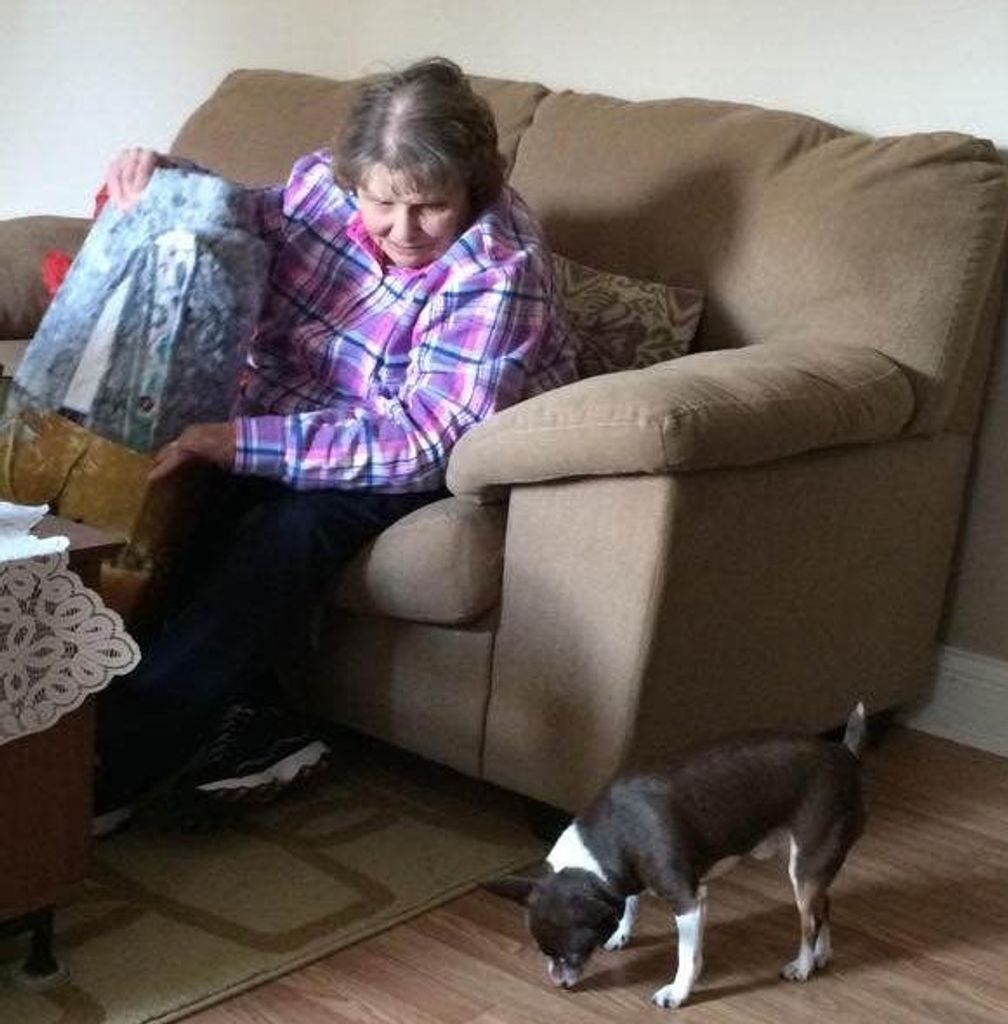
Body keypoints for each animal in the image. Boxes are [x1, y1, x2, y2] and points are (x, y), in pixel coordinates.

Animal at [490, 703, 867, 1008]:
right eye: (544, 951)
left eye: (575, 953)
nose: (559, 983)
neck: (606, 843)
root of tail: (844, 752)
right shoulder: (631, 876)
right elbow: (631, 903)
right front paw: (620, 933)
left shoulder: (688, 902)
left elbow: (687, 955)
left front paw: (678, 992)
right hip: (811, 867)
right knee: (824, 905)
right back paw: (822, 955)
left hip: (805, 867)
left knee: (809, 922)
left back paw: (802, 966)